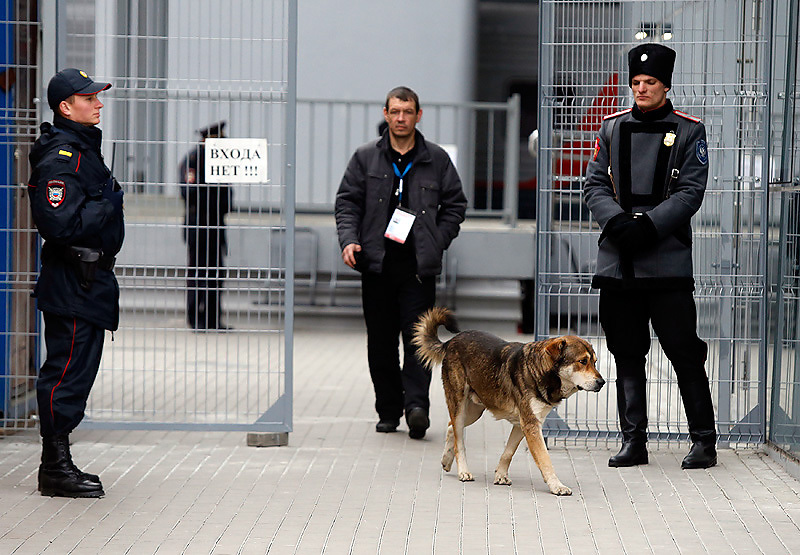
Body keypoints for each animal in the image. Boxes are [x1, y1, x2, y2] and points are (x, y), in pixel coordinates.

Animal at [412, 307, 604, 496]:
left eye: (595, 362)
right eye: (582, 361)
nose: (602, 382)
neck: (540, 370)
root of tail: (450, 341)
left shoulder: (523, 424)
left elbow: (508, 452)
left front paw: (501, 475)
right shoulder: (531, 426)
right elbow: (545, 459)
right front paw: (557, 485)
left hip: (474, 411)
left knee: (451, 426)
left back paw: (446, 460)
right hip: (460, 406)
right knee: (459, 440)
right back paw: (463, 471)